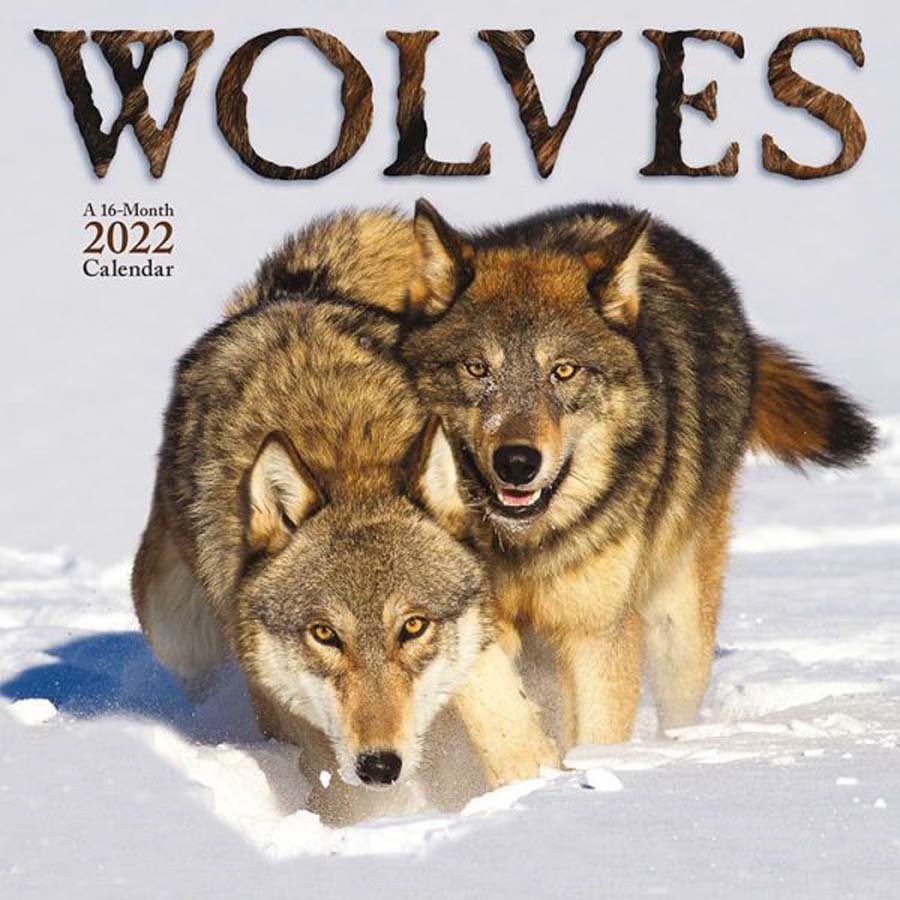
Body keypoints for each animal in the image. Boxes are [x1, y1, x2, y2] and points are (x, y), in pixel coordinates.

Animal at [132, 212, 557, 813]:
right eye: (324, 634)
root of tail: (287, 290)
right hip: (174, 631)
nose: (380, 766)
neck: (344, 452)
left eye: (413, 626)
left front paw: (538, 789)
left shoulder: (476, 637)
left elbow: (507, 727)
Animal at [400, 199, 877, 752]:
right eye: (477, 369)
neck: (525, 548)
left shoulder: (599, 633)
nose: (517, 462)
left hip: (680, 630)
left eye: (563, 371)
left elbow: (597, 733)